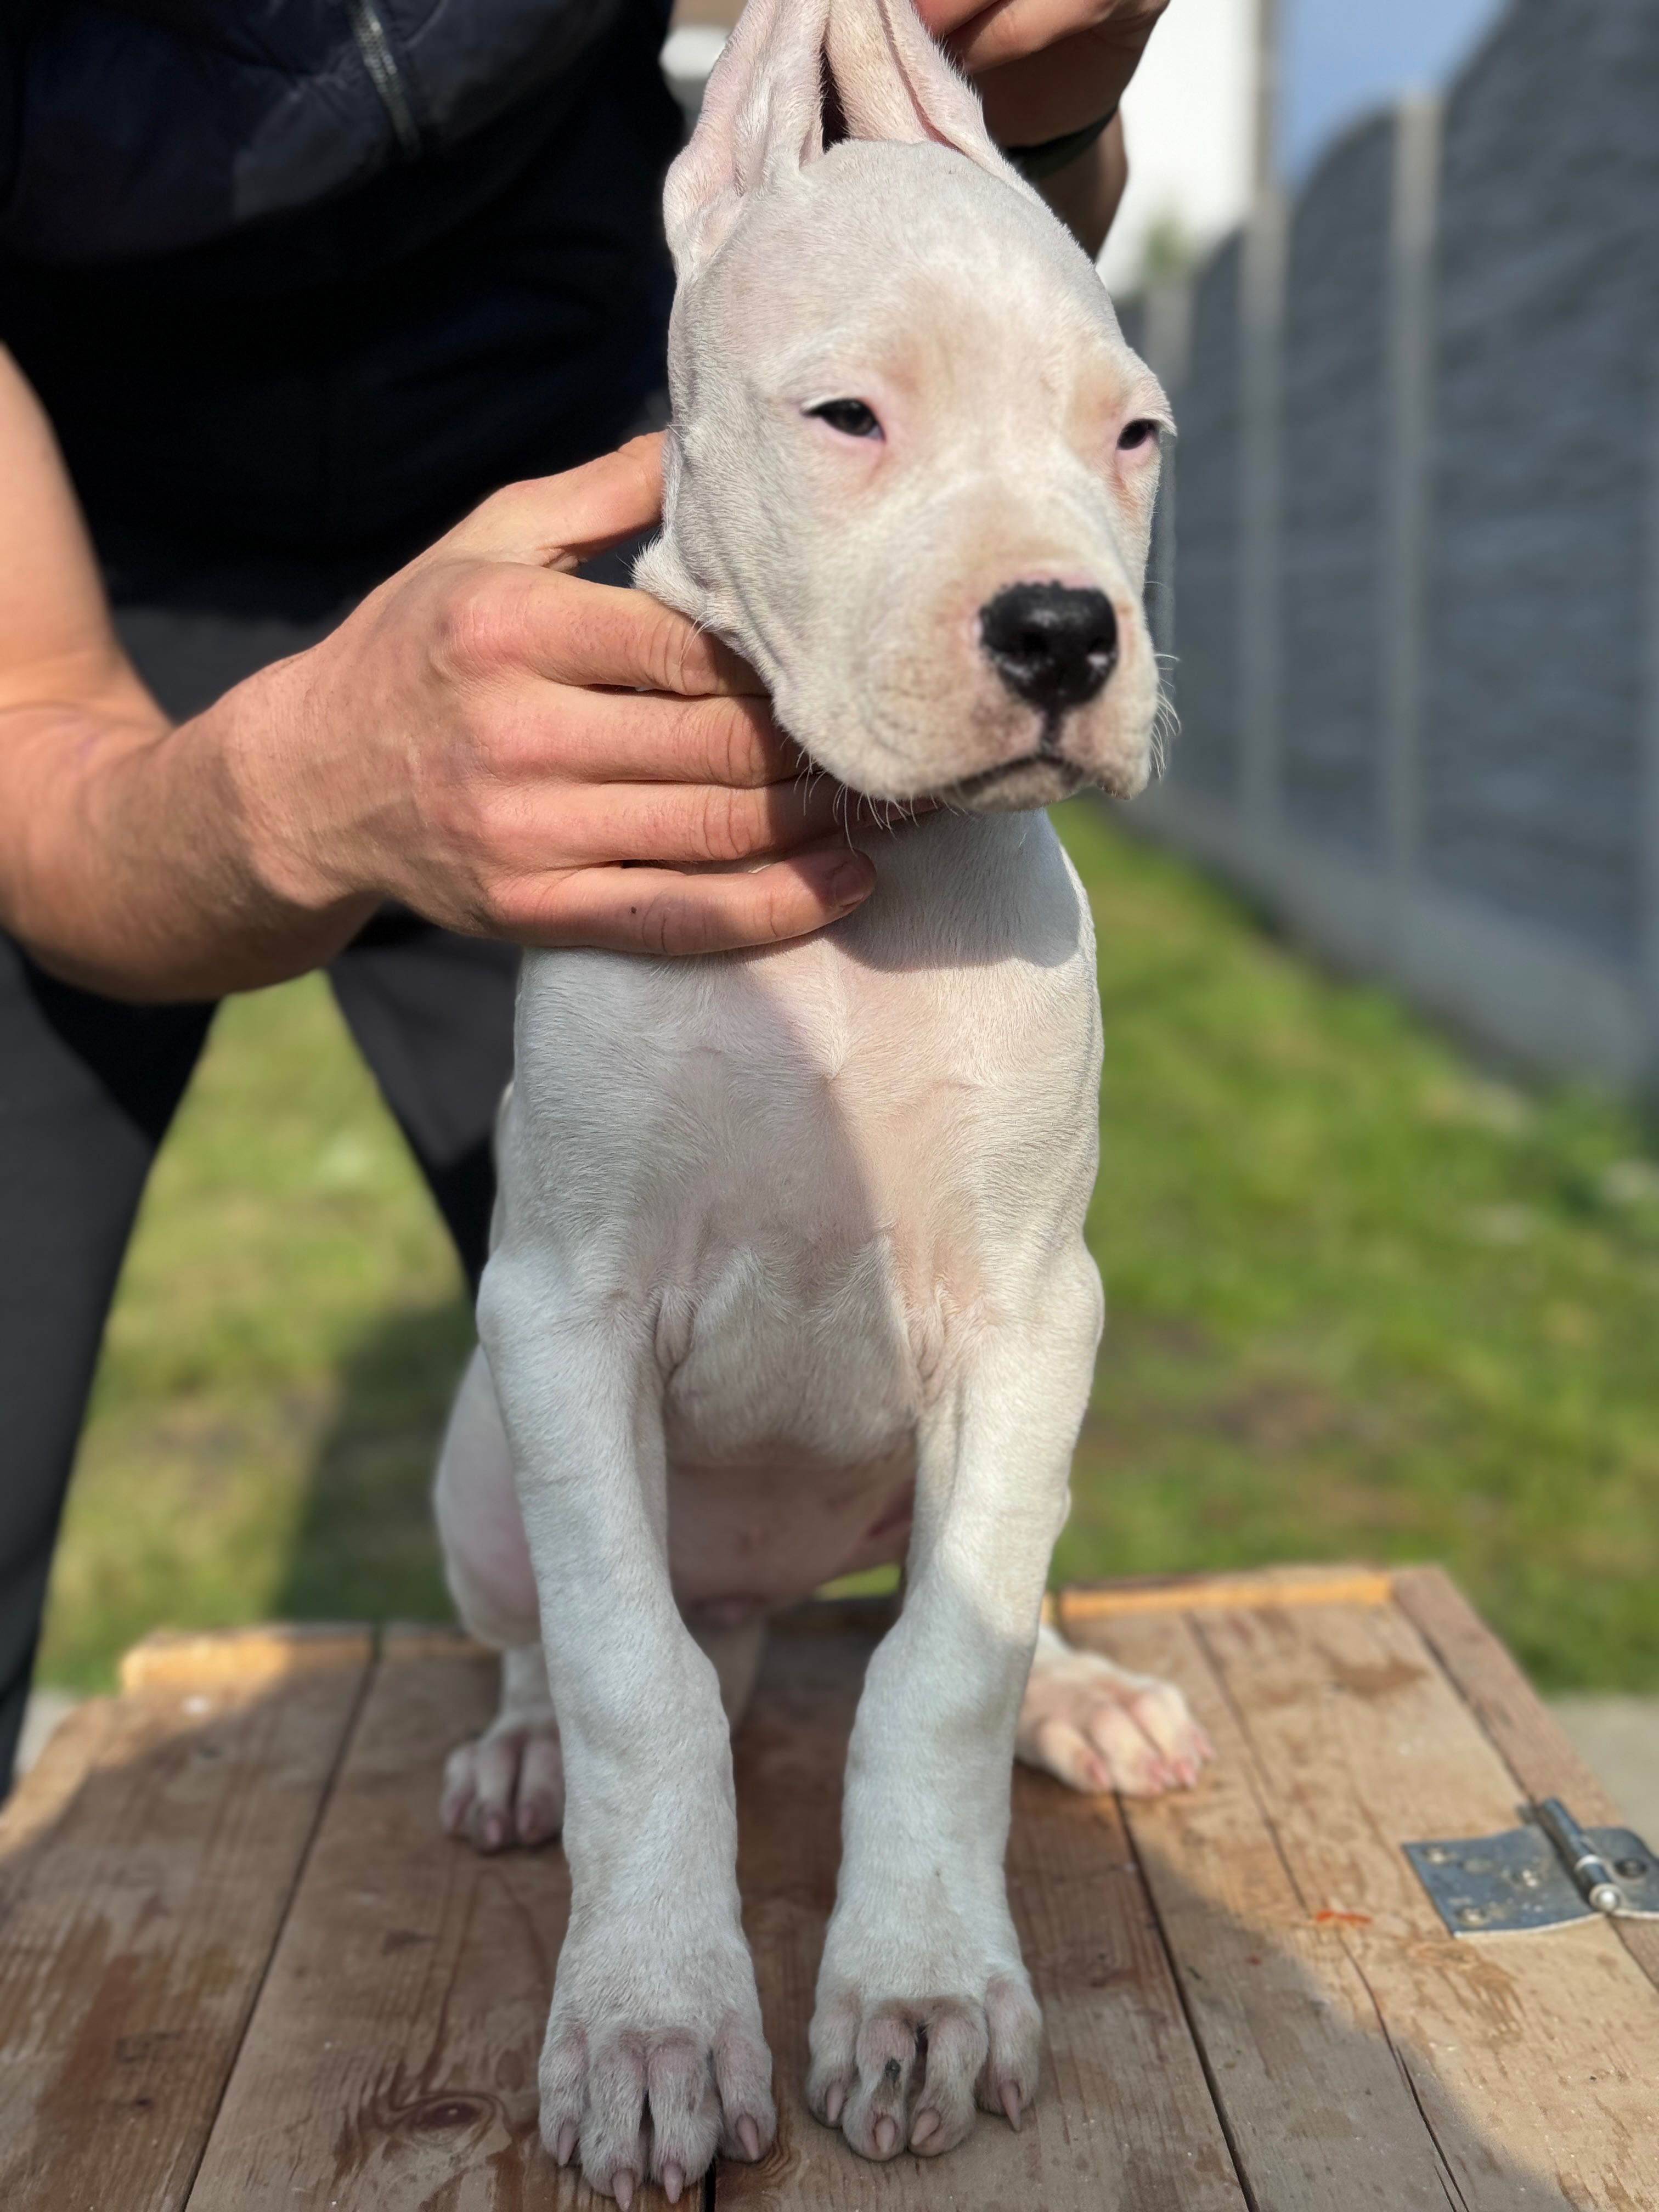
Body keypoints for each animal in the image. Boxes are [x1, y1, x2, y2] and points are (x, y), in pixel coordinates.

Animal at [429, 4, 1212, 2194]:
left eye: (1132, 438)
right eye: (848, 415)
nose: (1065, 631)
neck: (862, 868)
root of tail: (763, 1587)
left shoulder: (1029, 1313)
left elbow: (938, 1667)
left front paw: (923, 1990)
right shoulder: (565, 1305)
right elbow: (639, 1692)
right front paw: (649, 2026)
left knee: (990, 1604)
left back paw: (1081, 1696)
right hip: (477, 1459)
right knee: (561, 1630)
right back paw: (520, 1745)